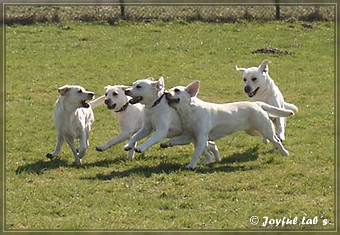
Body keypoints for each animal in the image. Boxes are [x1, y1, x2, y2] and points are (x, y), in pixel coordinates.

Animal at [163, 81, 294, 169]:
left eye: (177, 90)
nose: (165, 93)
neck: (190, 111)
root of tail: (257, 104)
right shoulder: (189, 136)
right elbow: (175, 140)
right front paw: (165, 144)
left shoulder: (201, 137)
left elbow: (196, 153)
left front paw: (191, 165)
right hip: (253, 130)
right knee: (269, 137)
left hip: (264, 128)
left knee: (276, 140)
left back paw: (284, 153)